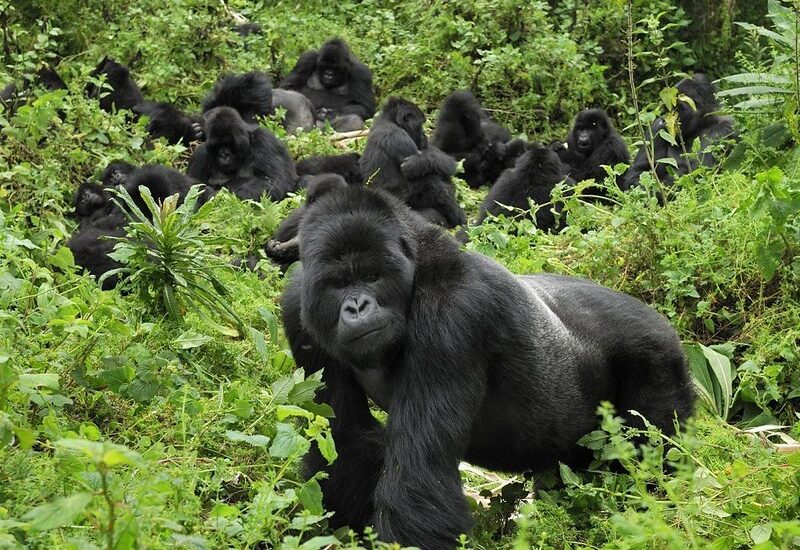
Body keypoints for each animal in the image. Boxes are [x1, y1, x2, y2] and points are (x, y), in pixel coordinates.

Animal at [284, 187, 696, 550]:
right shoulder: (298, 308)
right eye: (339, 283)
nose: (357, 307)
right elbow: (345, 440)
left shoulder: (452, 313)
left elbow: (419, 475)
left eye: (372, 276)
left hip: (658, 359)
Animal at [360, 97, 466, 229]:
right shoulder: (398, 137)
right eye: (420, 125)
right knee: (433, 182)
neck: (389, 120)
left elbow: (442, 160)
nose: (425, 136)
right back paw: (458, 218)